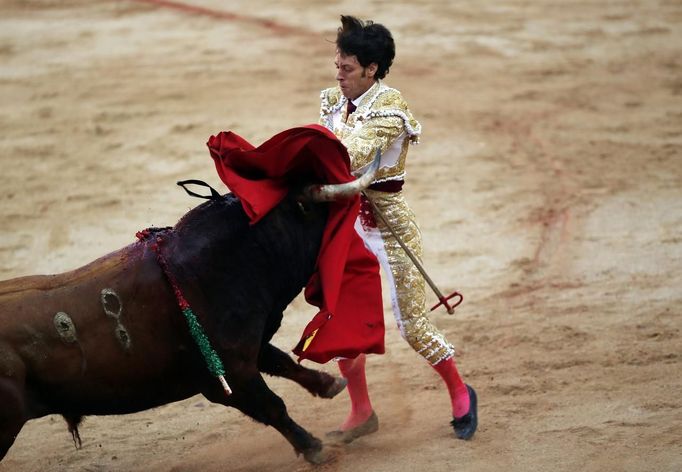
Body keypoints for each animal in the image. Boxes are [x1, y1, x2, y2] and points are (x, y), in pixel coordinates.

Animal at [0, 189, 350, 464]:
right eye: (324, 210)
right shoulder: (227, 377)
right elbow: (273, 406)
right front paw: (315, 448)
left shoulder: (246, 347)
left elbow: (282, 362)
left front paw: (329, 383)